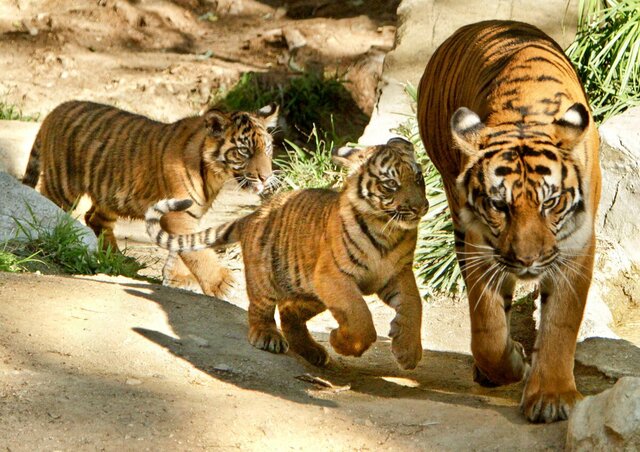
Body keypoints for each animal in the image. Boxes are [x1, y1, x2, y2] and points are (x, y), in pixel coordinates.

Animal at [23, 100, 279, 297]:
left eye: (267, 149)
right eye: (244, 151)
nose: (266, 177)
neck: (215, 174)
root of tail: (55, 110)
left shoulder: (190, 213)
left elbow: (184, 245)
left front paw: (178, 278)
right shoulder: (177, 214)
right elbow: (196, 251)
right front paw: (222, 284)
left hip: (109, 193)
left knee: (95, 219)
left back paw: (118, 260)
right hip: (62, 187)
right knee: (52, 209)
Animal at [145, 137, 429, 370]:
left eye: (418, 178)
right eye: (391, 184)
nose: (420, 208)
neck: (386, 229)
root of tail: (254, 214)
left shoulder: (399, 273)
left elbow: (414, 305)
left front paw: (408, 353)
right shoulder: (333, 276)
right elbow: (360, 318)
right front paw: (341, 342)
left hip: (309, 290)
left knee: (289, 311)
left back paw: (313, 351)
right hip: (268, 279)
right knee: (260, 309)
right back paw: (267, 336)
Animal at [417, 20, 601, 423]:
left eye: (550, 202)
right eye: (499, 205)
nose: (528, 261)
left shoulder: (576, 246)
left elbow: (561, 320)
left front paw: (551, 397)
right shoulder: (480, 243)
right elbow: (487, 328)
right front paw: (512, 364)